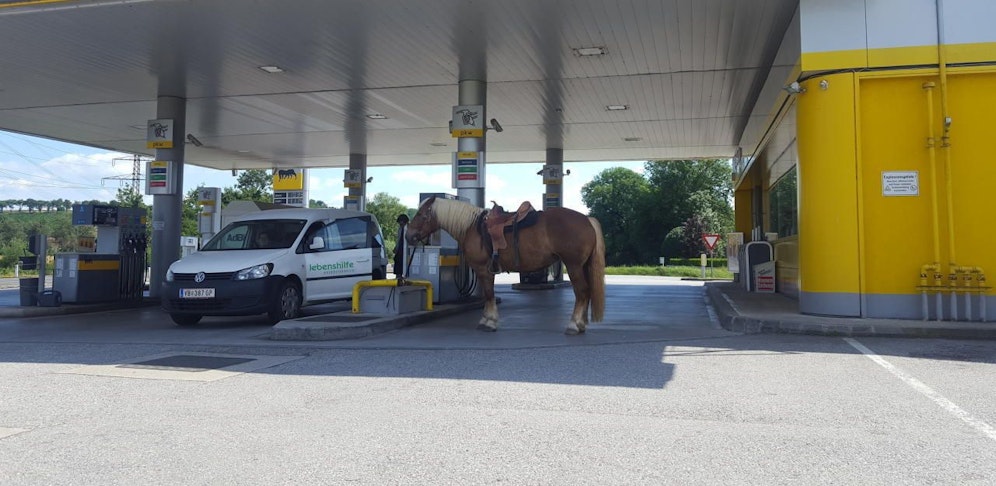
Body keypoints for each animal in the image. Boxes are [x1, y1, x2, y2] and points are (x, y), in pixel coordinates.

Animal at [406, 196, 606, 334]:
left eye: (421, 214)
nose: (409, 236)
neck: (472, 227)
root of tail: (587, 219)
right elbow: (490, 294)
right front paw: (488, 320)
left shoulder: (483, 270)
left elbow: (488, 294)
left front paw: (489, 322)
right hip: (581, 266)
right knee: (586, 293)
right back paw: (580, 324)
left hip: (573, 266)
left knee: (582, 292)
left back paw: (573, 325)